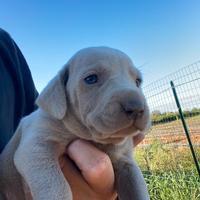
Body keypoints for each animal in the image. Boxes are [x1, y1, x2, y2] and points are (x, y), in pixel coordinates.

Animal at [0, 47, 150, 200]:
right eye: (91, 79)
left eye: (138, 81)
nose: (137, 107)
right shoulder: (35, 148)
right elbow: (57, 186)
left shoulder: (126, 162)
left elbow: (138, 188)